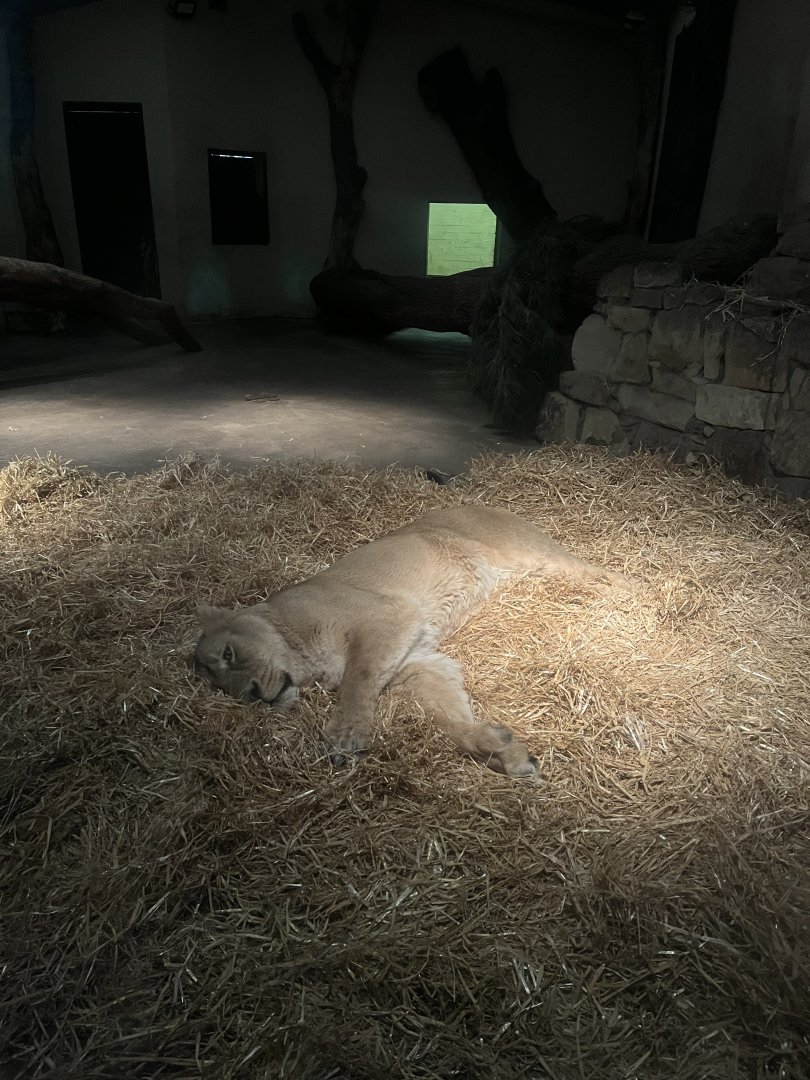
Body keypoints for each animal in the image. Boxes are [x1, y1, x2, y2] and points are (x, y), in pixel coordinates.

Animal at [195, 505, 632, 778]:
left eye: (229, 654)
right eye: (220, 688)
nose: (252, 694)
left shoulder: (389, 618)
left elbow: (357, 678)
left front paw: (345, 736)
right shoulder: (416, 664)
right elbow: (446, 717)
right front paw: (501, 750)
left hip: (538, 557)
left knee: (603, 572)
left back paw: (637, 595)